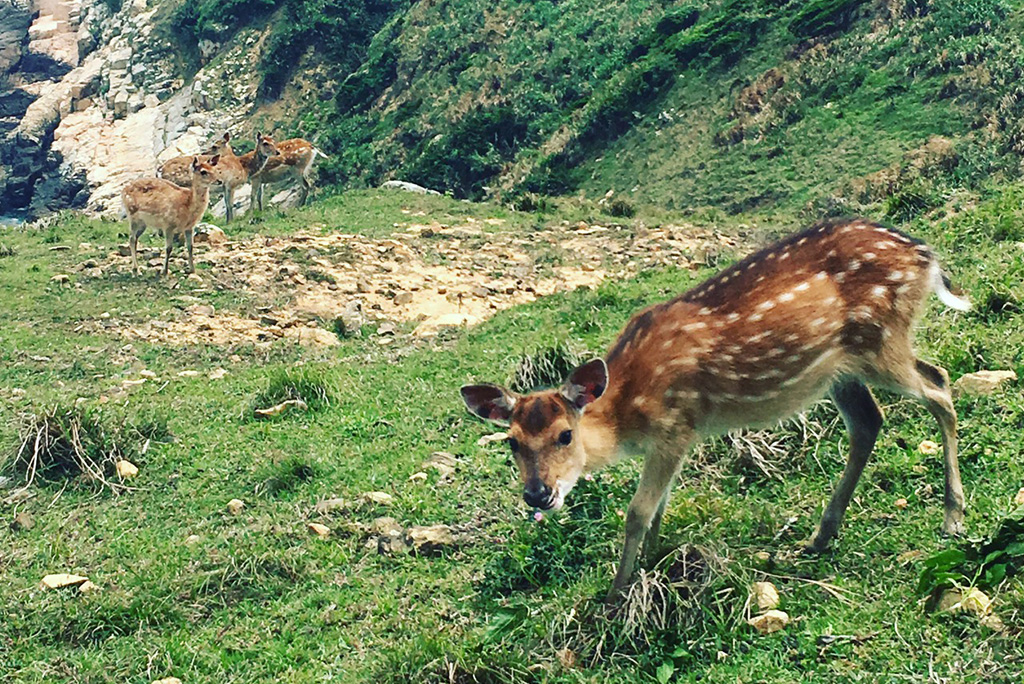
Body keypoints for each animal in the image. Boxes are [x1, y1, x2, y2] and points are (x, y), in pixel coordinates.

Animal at [460, 220, 970, 597]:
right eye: (511, 442)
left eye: (565, 435)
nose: (537, 494)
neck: (628, 414)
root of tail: (926, 258)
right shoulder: (669, 439)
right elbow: (659, 508)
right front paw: (652, 564)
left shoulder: (676, 425)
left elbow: (638, 512)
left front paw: (615, 595)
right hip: (841, 370)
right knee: (872, 420)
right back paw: (819, 537)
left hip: (880, 340)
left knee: (940, 386)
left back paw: (952, 517)